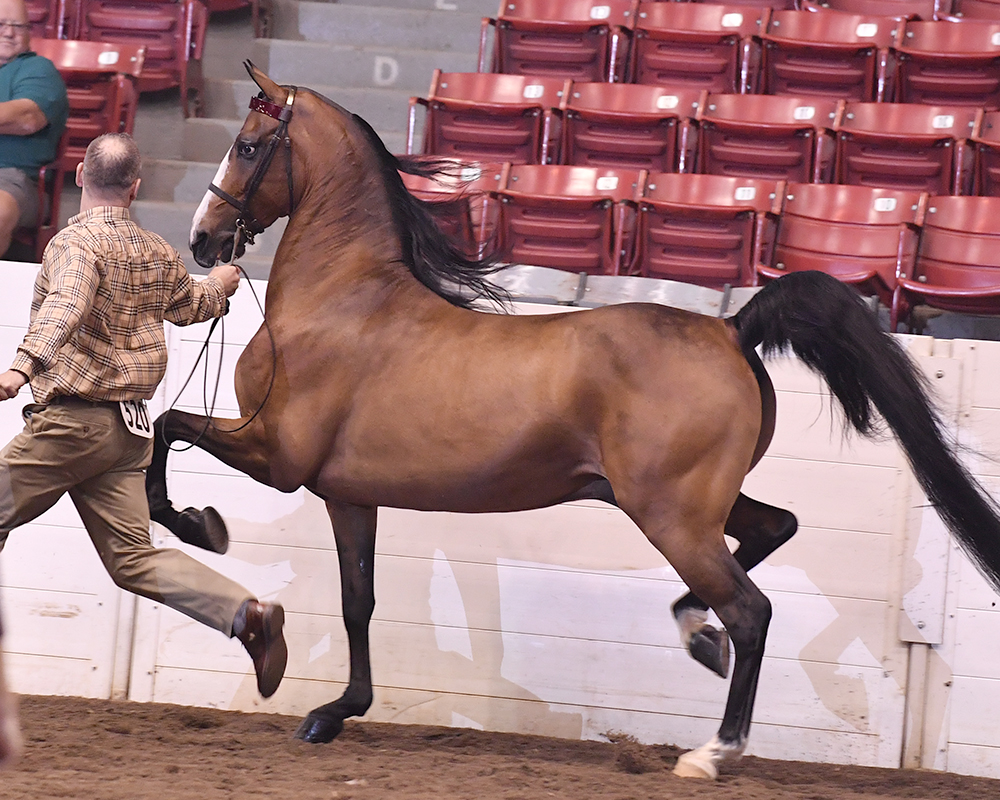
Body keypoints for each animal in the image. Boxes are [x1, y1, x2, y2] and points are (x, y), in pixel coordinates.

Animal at [143, 64, 1000, 780]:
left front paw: (199, 523)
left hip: (670, 515)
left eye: (249, 145)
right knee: (771, 531)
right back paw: (696, 633)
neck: (343, 301)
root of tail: (731, 328)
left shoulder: (277, 454)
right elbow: (361, 603)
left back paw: (713, 751)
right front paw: (335, 713)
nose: (202, 239)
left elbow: (168, 431)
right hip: (686, 505)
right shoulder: (347, 493)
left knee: (752, 611)